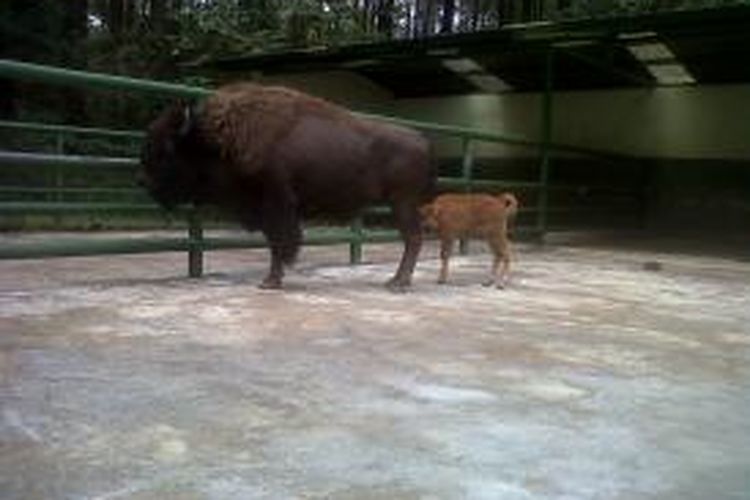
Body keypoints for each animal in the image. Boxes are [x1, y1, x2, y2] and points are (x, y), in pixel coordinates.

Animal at [139, 84, 438, 292]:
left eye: (165, 152)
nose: (145, 183)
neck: (221, 139)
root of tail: (422, 140)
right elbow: (275, 243)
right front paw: (272, 280)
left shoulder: (276, 204)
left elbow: (279, 243)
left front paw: (270, 282)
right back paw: (397, 281)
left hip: (402, 203)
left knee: (413, 238)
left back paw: (398, 283)